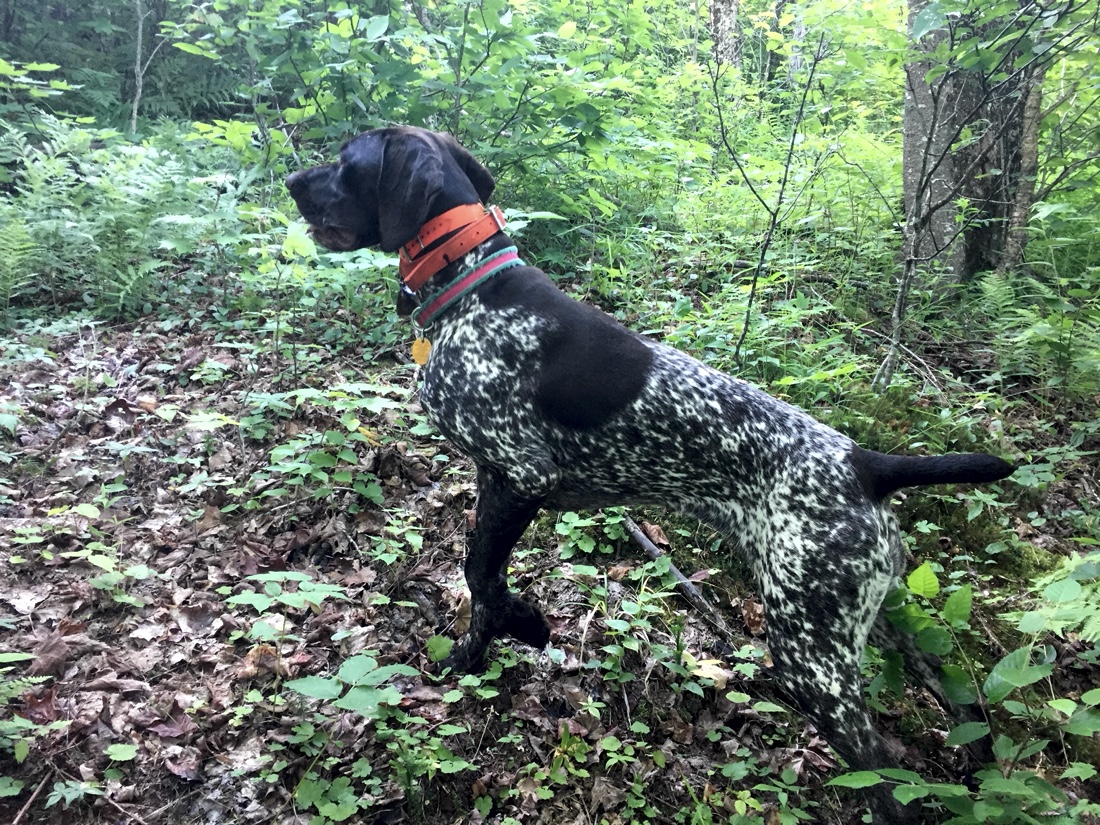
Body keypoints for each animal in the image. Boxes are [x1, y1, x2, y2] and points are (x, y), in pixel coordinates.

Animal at [286, 125, 1012, 822]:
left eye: (345, 160)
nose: (291, 178)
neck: (470, 285)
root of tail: (865, 463)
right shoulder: (499, 478)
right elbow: (481, 584)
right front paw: (472, 658)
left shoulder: (520, 474)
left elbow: (483, 577)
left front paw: (524, 626)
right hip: (862, 611)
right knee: (955, 698)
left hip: (812, 653)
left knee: (887, 783)